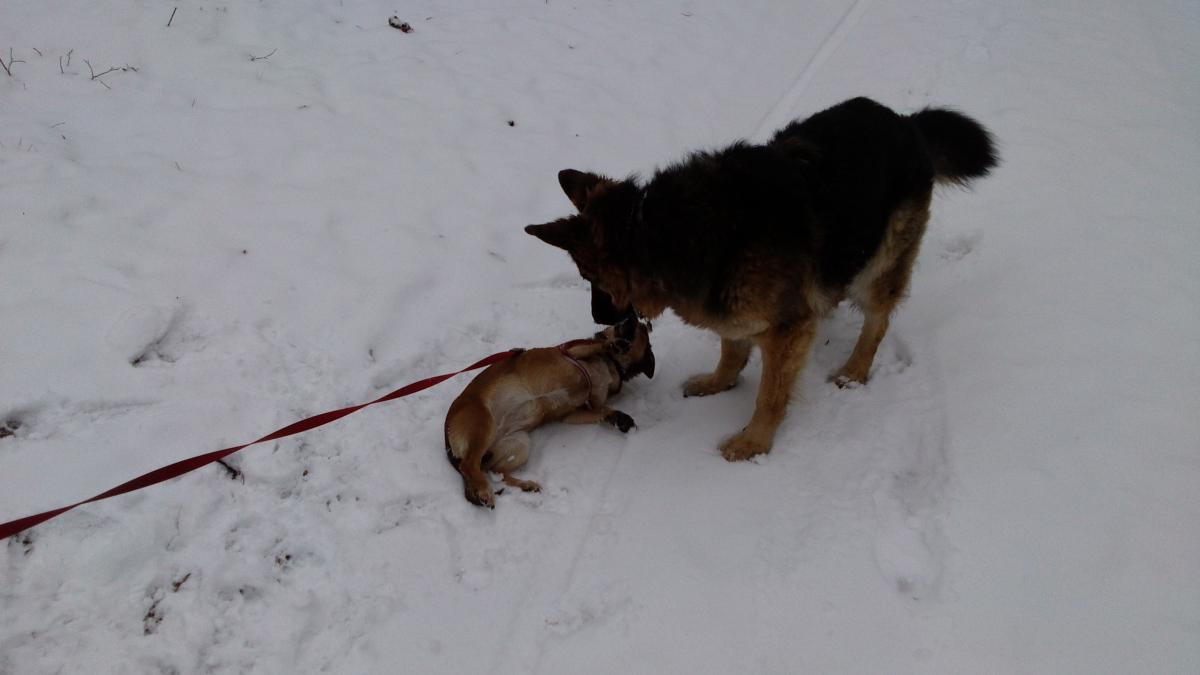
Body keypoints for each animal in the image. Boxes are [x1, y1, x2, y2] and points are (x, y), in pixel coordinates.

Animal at [444, 317, 655, 507]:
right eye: (639, 326)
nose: (630, 318)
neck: (612, 365)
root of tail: (447, 430)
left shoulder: (575, 411)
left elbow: (602, 409)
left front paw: (618, 418)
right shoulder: (571, 351)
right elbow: (599, 345)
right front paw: (614, 344)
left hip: (519, 443)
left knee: (494, 471)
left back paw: (525, 486)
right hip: (482, 422)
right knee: (469, 465)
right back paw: (485, 490)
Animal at [525, 97, 997, 461]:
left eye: (589, 276)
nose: (597, 318)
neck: (661, 232)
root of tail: (905, 121)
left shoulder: (788, 330)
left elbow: (770, 394)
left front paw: (754, 443)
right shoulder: (731, 305)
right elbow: (731, 349)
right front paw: (718, 383)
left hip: (878, 267)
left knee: (877, 321)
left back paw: (855, 370)